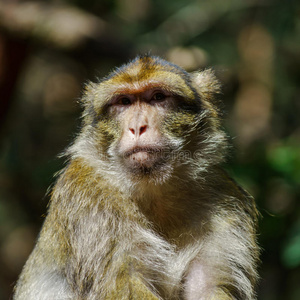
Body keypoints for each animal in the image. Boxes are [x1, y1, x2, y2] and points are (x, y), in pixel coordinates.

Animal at [13, 55, 258, 298]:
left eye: (158, 97)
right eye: (124, 102)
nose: (137, 127)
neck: (154, 190)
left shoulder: (224, 201)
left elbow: (208, 286)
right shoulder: (89, 198)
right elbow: (121, 284)